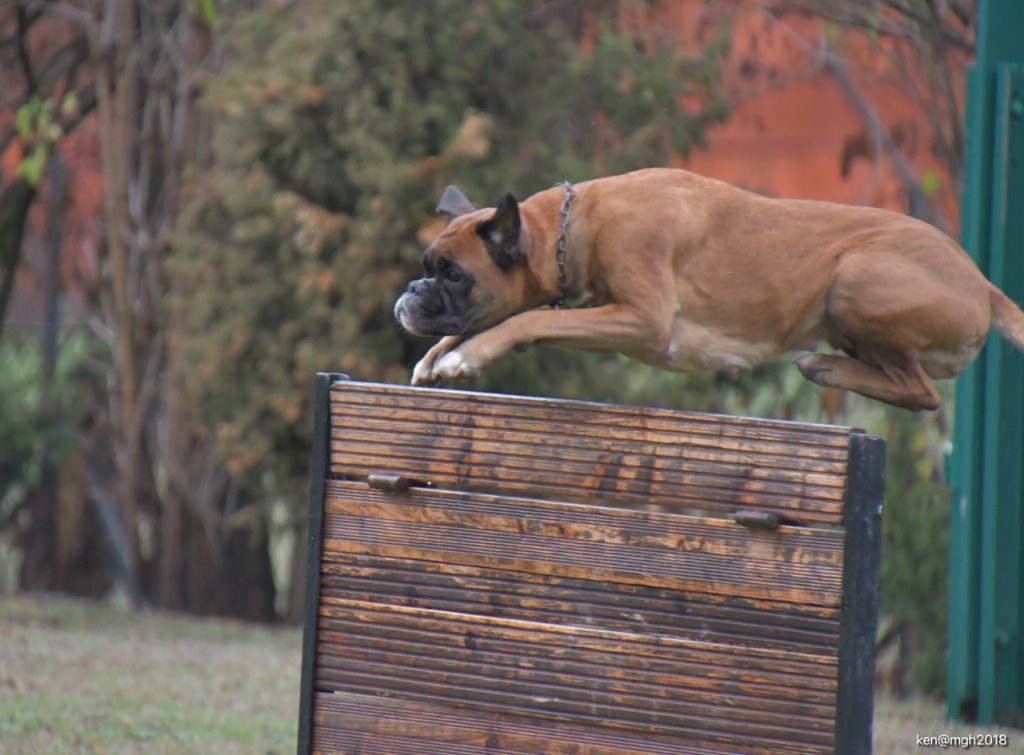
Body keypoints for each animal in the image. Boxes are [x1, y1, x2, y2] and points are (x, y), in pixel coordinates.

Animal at [391, 168, 1024, 409]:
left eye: (454, 274)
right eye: (429, 266)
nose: (413, 290)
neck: (575, 226)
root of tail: (983, 283)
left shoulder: (641, 323)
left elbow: (531, 319)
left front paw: (465, 356)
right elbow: (514, 320)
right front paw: (440, 356)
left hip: (853, 276)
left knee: (924, 393)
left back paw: (828, 369)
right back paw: (833, 367)